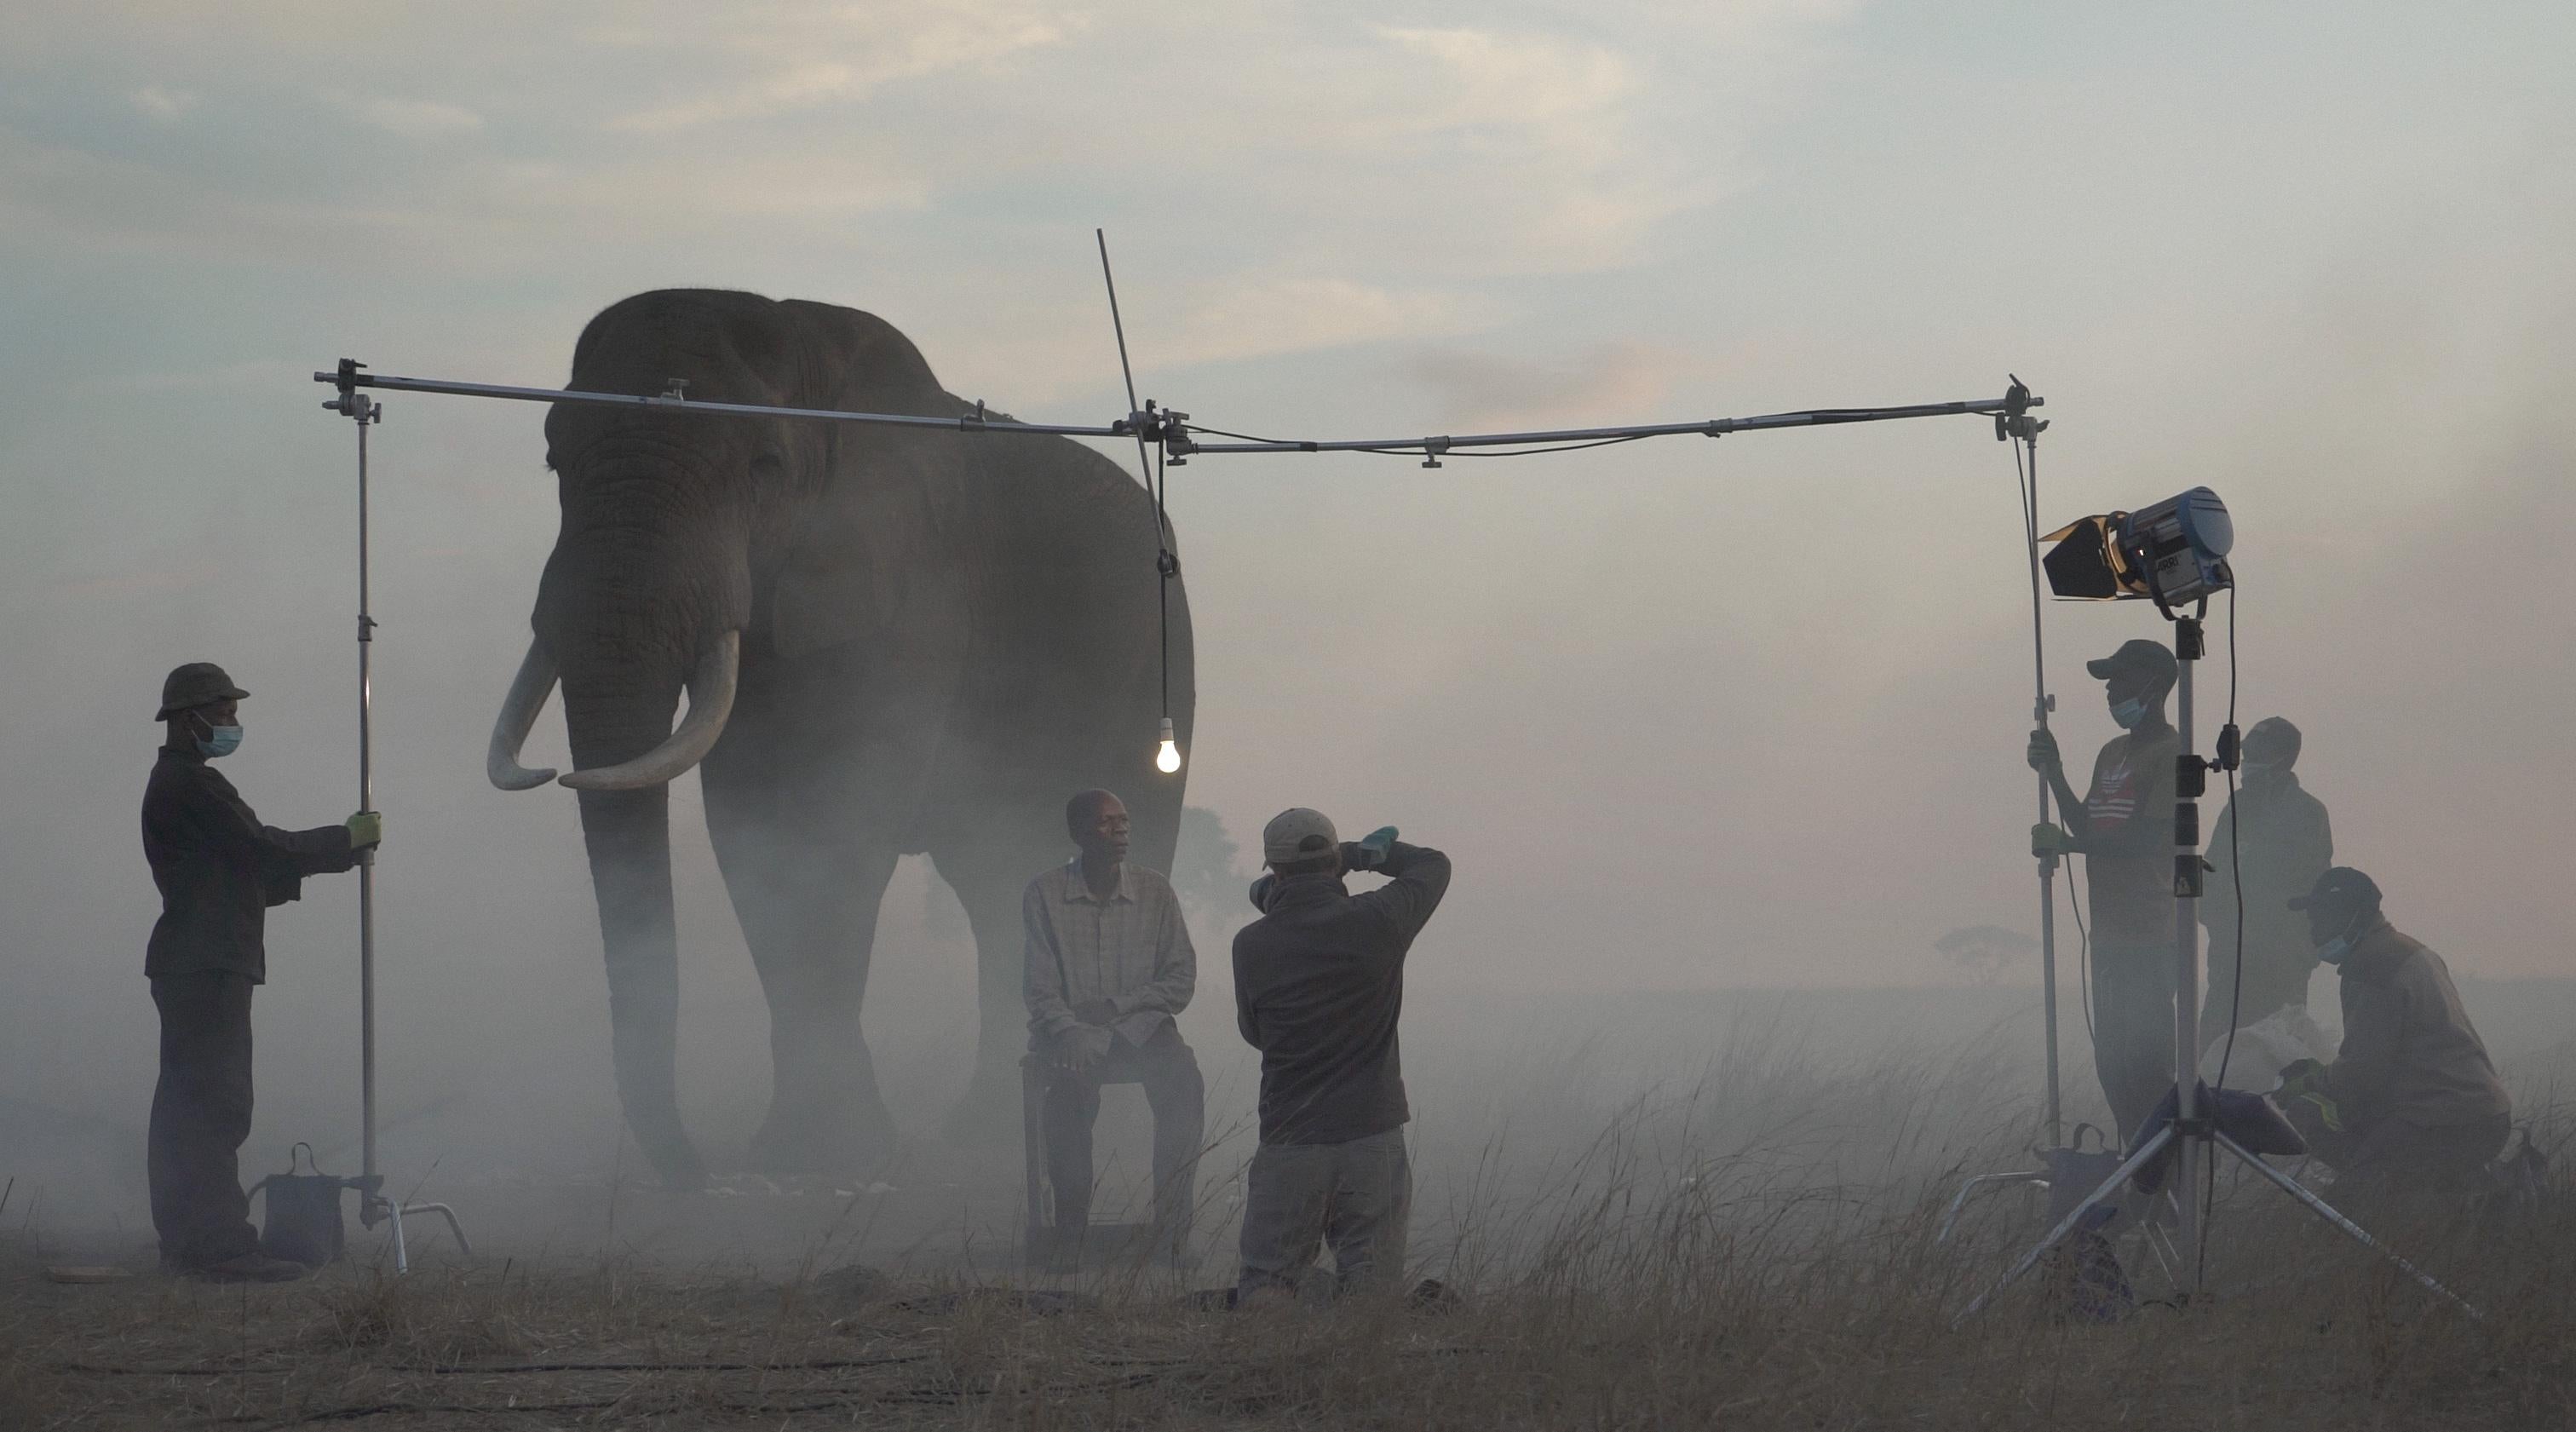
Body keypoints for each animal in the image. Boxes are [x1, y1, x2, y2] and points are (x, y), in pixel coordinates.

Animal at [484, 288, 1195, 1184]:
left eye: (763, 467)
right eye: (554, 462)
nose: (704, 1171)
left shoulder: (907, 585)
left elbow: (831, 825)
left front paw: (832, 1159)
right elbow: (755, 829)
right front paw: (797, 1160)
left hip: (1157, 662)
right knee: (996, 876)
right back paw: (984, 1128)